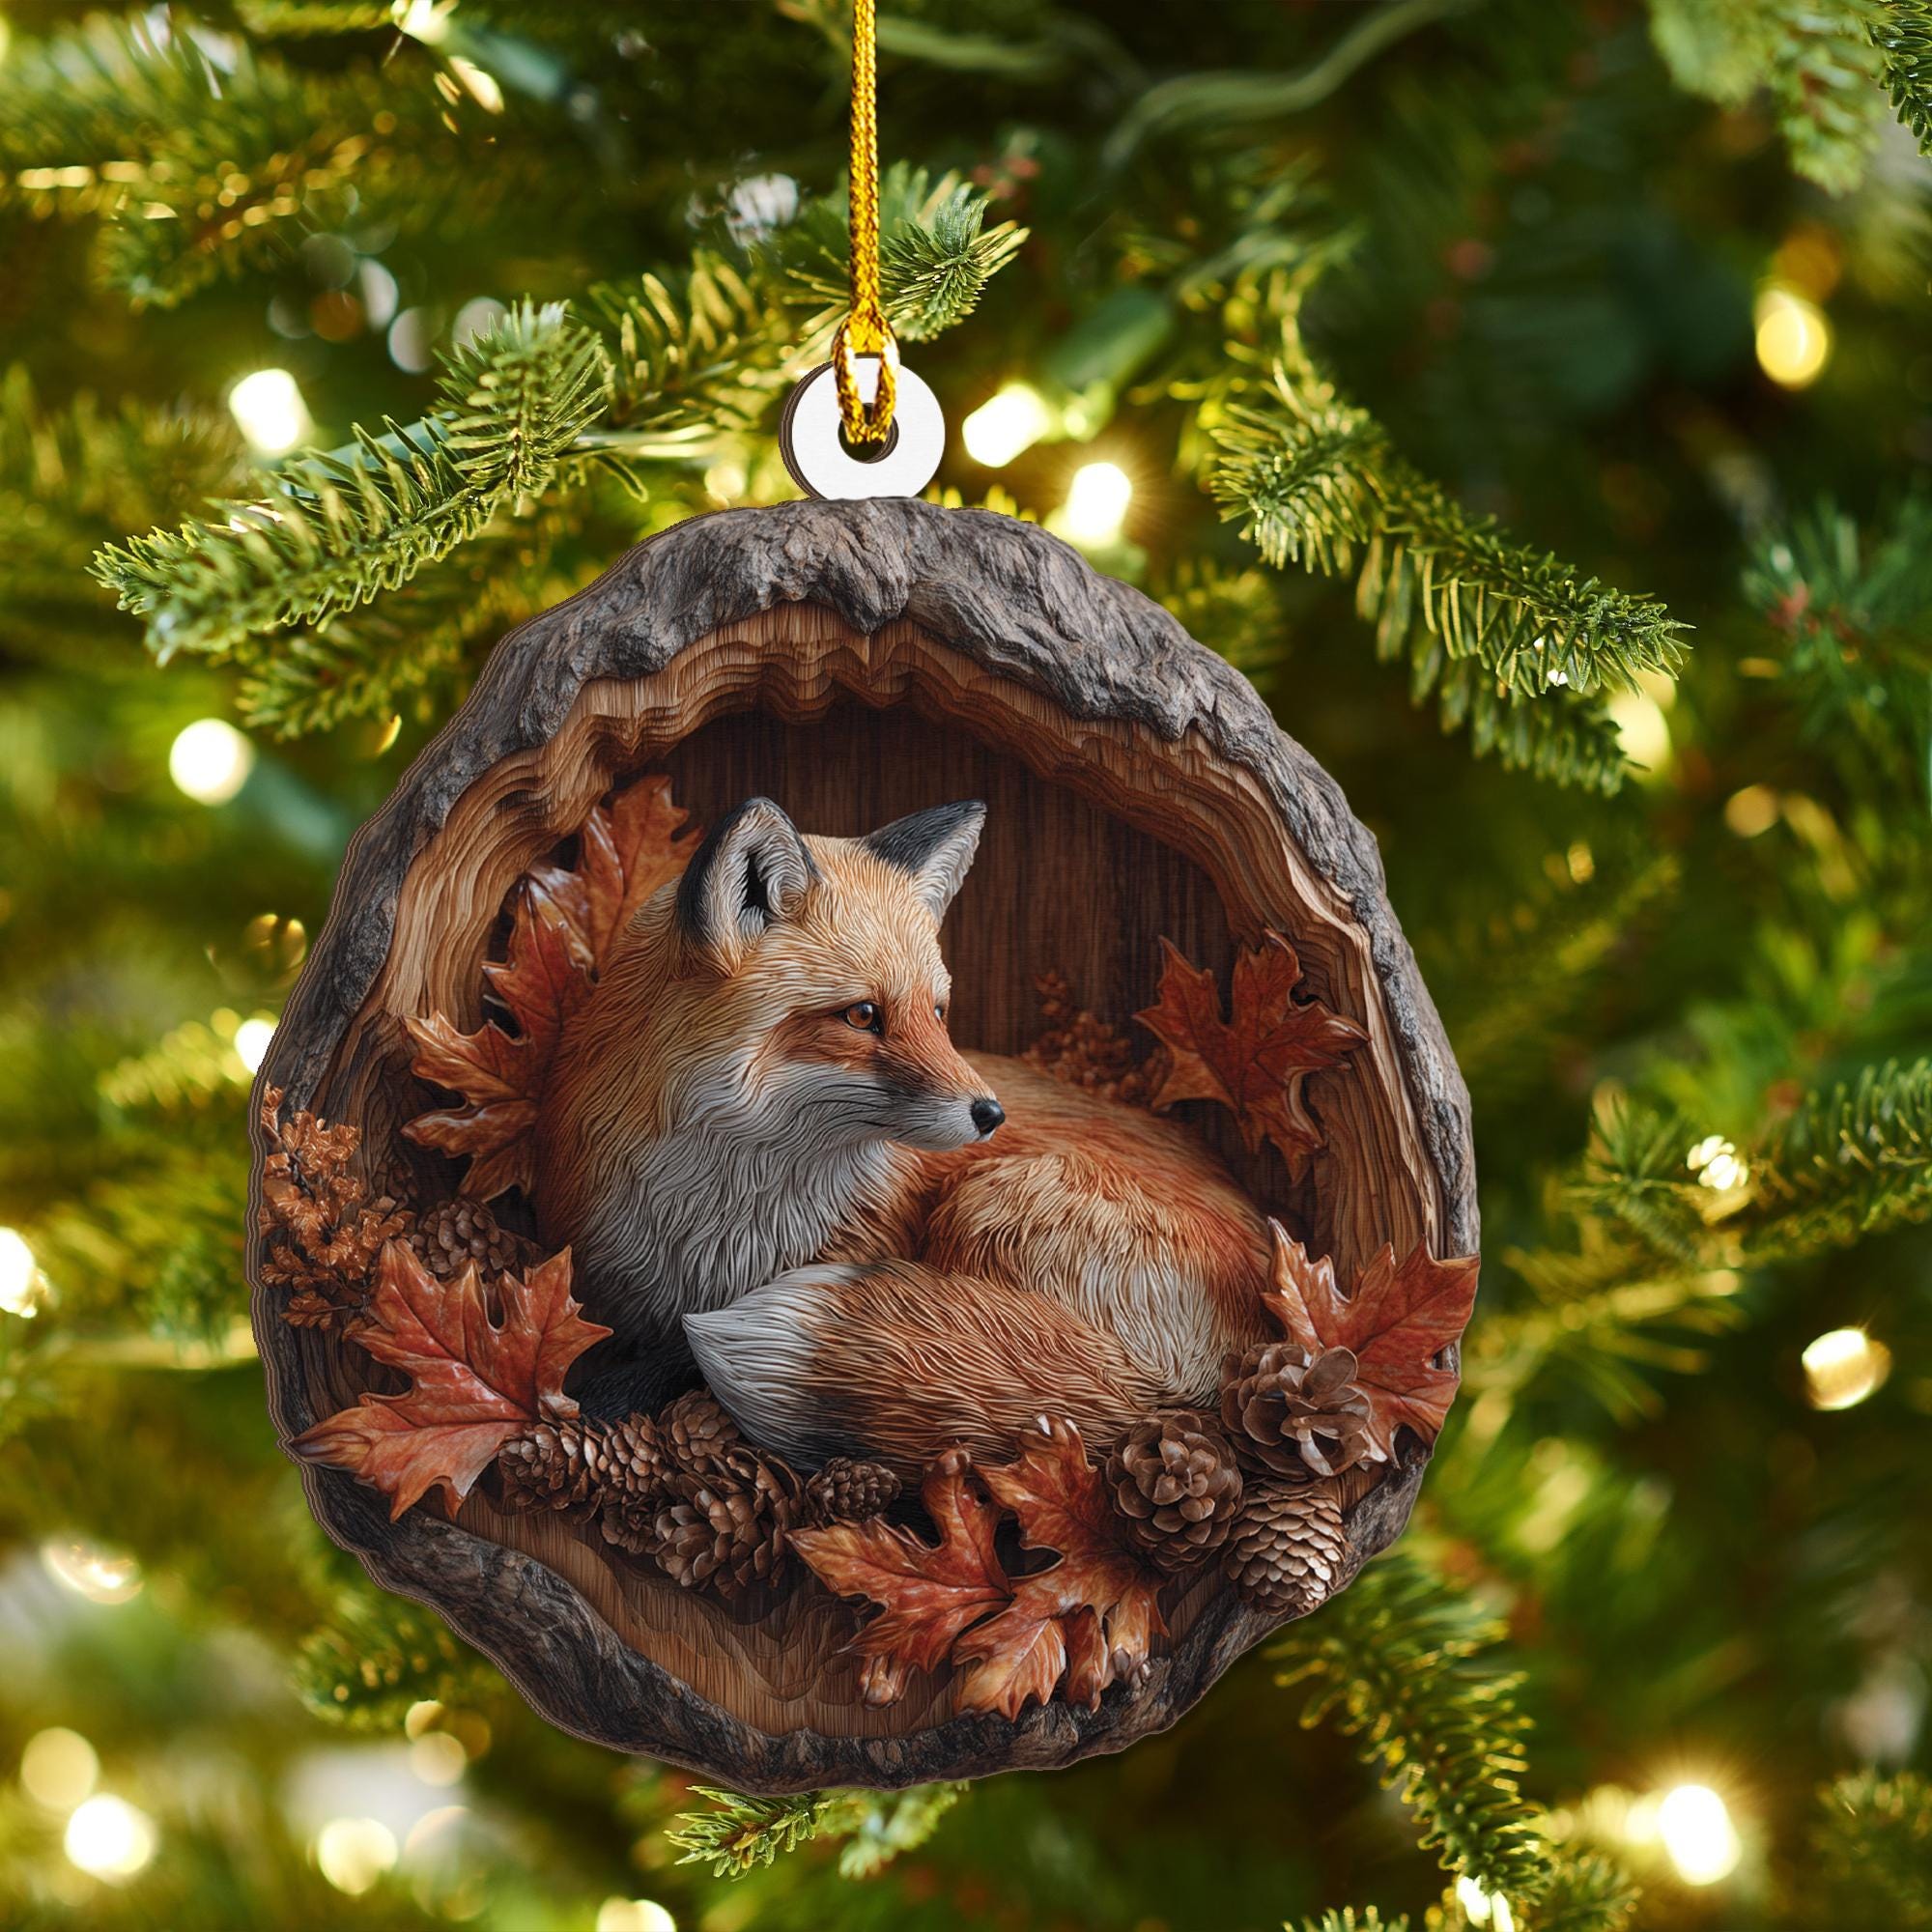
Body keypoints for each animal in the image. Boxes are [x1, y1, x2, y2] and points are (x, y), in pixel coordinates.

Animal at [534, 795, 1277, 1479]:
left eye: (938, 1013)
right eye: (863, 1015)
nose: (991, 1115)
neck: (718, 1219)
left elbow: (674, 1357)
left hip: (990, 1202)